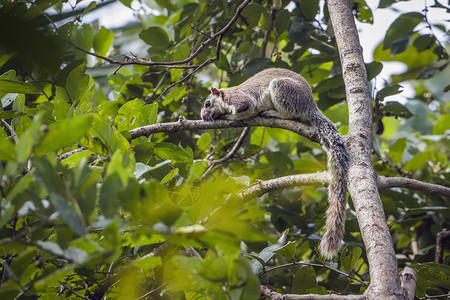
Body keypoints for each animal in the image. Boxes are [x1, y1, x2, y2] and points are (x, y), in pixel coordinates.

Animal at [201, 68, 352, 260]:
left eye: (207, 103)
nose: (202, 117)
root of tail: (310, 106)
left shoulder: (240, 100)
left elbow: (241, 109)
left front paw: (227, 116)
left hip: (283, 90)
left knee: (289, 112)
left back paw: (274, 113)